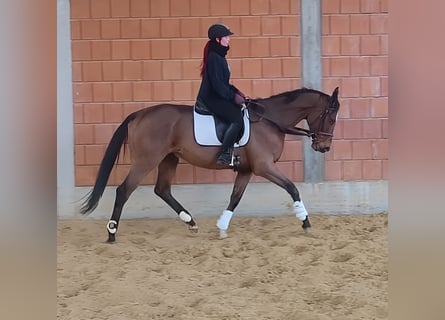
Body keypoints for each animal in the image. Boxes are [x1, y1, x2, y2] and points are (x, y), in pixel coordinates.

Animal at [80, 86, 340, 241]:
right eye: (331, 117)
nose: (324, 147)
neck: (270, 120)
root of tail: (138, 114)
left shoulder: (246, 169)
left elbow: (235, 197)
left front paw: (222, 226)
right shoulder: (264, 166)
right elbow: (292, 188)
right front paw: (305, 221)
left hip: (169, 159)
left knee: (162, 190)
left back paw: (191, 222)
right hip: (147, 160)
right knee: (124, 190)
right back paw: (112, 233)